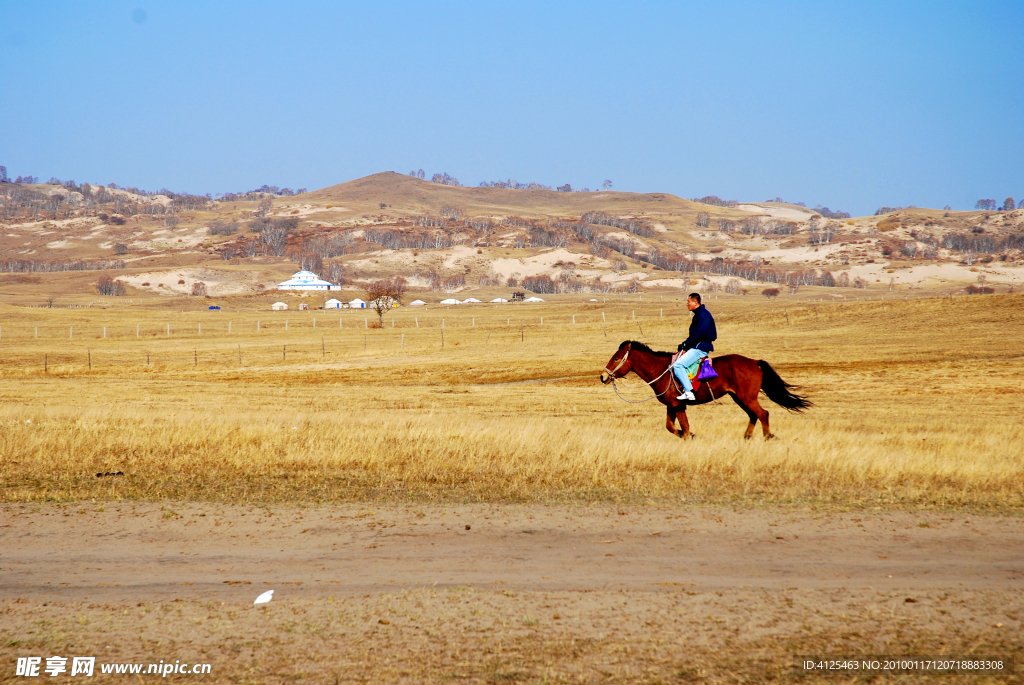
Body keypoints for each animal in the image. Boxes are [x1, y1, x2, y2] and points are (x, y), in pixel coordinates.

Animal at [598, 339, 806, 438]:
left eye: (616, 358)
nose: (603, 376)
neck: (662, 370)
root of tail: (754, 362)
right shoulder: (672, 405)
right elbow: (670, 427)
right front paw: (687, 435)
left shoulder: (678, 405)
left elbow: (684, 427)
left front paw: (688, 436)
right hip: (740, 398)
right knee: (754, 415)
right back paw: (747, 437)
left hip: (747, 398)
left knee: (763, 414)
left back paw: (767, 437)